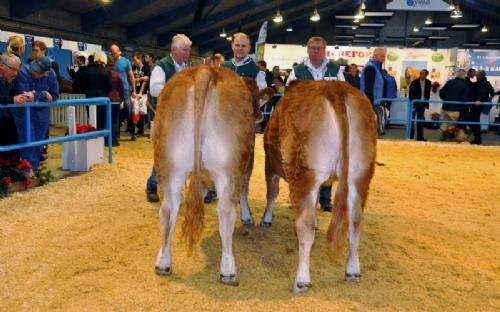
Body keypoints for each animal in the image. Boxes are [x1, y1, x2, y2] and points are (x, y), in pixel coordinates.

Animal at [153, 66, 258, 286]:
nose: (261, 115)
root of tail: (205, 70)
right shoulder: (248, 163)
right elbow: (245, 192)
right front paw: (247, 217)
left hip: (169, 167)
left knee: (167, 210)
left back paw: (163, 263)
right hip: (228, 171)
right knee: (226, 212)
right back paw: (228, 270)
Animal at [262, 79, 376, 294]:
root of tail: (335, 88)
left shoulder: (270, 164)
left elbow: (272, 193)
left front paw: (266, 219)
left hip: (304, 173)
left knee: (304, 226)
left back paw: (302, 281)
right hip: (360, 175)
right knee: (356, 221)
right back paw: (352, 271)